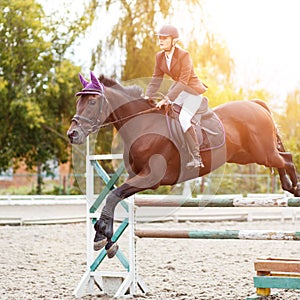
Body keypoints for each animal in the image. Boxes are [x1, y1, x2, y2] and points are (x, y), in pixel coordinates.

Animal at [67, 72, 300, 258]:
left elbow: (113, 196)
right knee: (283, 159)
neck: (143, 125)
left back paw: (295, 189)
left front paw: (102, 236)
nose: (72, 134)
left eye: (92, 102)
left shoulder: (151, 177)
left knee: (287, 158)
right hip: (248, 155)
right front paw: (105, 239)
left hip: (263, 153)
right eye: (78, 102)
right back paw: (289, 187)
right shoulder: (135, 176)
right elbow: (113, 197)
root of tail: (255, 104)